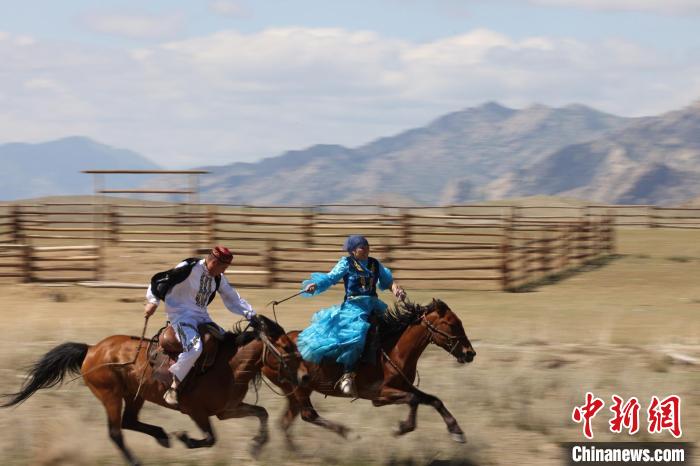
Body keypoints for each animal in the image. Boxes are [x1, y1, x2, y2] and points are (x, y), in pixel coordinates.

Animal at [0, 314, 306, 464]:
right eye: (286, 347)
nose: (304, 376)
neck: (227, 365)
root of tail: (92, 349)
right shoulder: (197, 412)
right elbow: (210, 438)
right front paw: (185, 438)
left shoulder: (227, 410)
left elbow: (262, 413)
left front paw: (256, 447)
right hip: (110, 395)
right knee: (116, 431)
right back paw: (138, 459)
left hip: (135, 395)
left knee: (129, 421)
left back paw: (161, 436)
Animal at [266, 298, 476, 448]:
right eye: (452, 324)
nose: (470, 353)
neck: (394, 351)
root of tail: (271, 345)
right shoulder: (380, 395)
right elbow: (414, 400)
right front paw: (402, 428)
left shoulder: (404, 387)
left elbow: (433, 400)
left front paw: (457, 431)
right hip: (298, 388)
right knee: (308, 414)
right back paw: (348, 433)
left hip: (295, 391)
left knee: (286, 421)